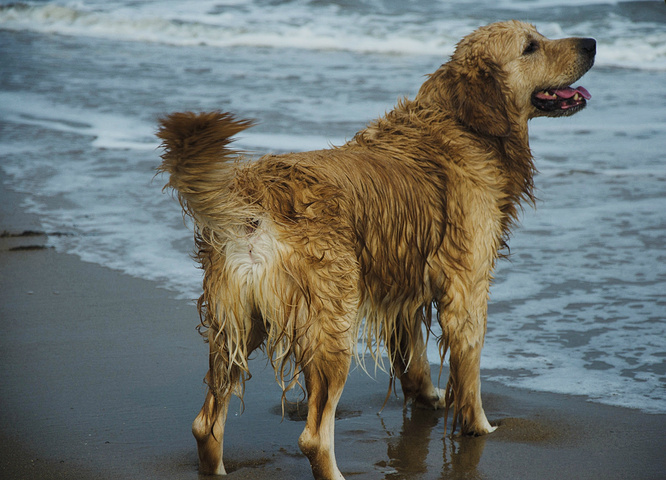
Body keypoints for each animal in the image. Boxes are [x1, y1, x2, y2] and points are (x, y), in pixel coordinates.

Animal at [157, 19, 596, 480]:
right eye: (531, 47)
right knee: (314, 436)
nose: (592, 43)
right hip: (331, 324)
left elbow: (414, 360)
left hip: (235, 322)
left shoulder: (402, 287)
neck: (461, 125)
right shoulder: (467, 287)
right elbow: (470, 372)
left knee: (206, 423)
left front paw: (429, 397)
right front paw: (480, 427)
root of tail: (255, 196)